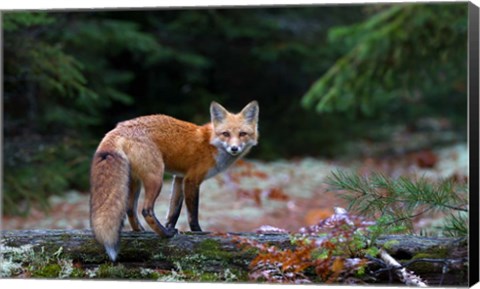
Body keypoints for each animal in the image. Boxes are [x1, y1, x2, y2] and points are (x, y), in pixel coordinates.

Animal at [89, 100, 258, 260]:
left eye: (242, 134)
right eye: (226, 134)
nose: (234, 148)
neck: (211, 144)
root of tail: (118, 128)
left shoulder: (179, 178)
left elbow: (174, 211)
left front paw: (170, 226)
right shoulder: (191, 180)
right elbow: (192, 214)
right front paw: (198, 233)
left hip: (135, 181)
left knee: (130, 209)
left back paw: (142, 231)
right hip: (156, 178)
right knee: (146, 210)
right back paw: (165, 234)